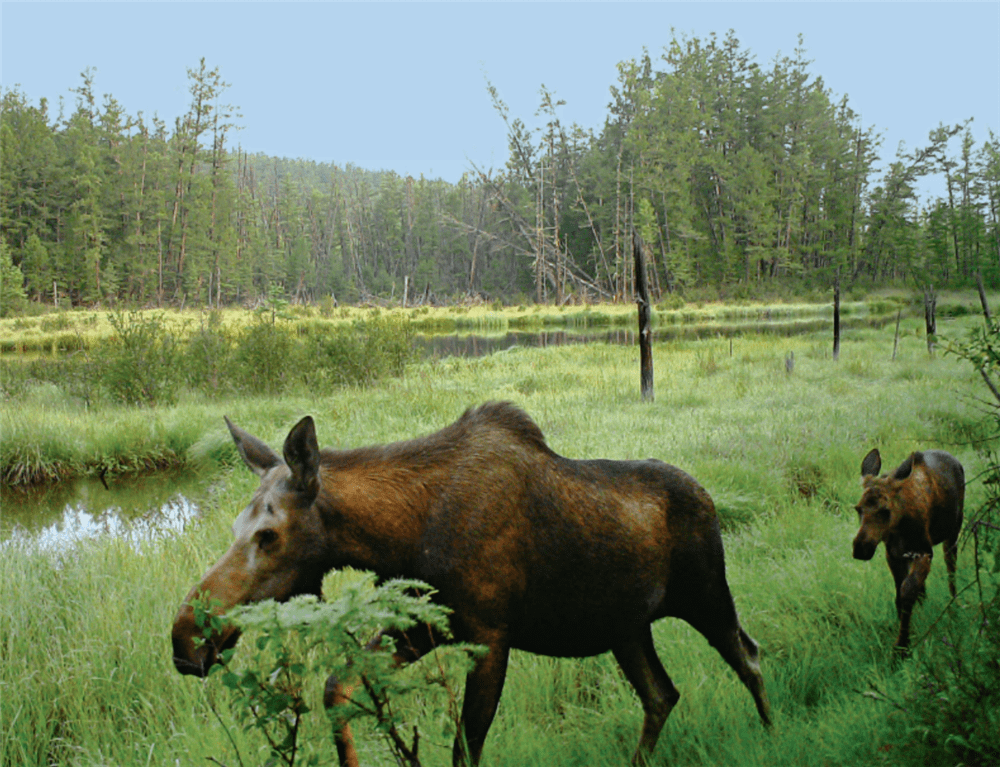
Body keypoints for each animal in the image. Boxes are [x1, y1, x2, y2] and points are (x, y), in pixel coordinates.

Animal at [172, 404, 768, 764]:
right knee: (662, 695)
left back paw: (771, 731)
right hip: (627, 627)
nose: (185, 639)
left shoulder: (489, 635)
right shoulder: (422, 625)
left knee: (750, 657)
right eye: (235, 526)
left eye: (269, 534)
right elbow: (335, 687)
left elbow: (465, 748)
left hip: (708, 595)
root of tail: (708, 497)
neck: (400, 537)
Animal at [852, 444, 960, 656]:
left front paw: (902, 646)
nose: (861, 548)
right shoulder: (893, 554)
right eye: (858, 509)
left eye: (885, 511)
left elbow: (907, 591)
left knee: (951, 567)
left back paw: (955, 604)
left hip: (953, 533)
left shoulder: (924, 552)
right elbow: (900, 594)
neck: (899, 527)